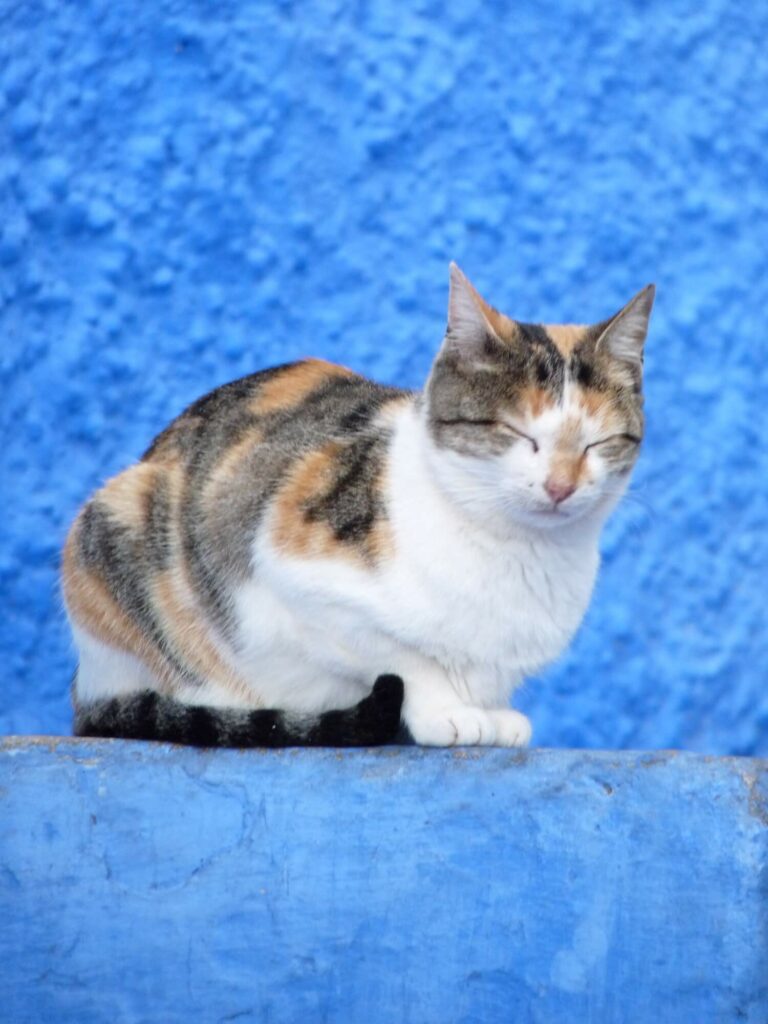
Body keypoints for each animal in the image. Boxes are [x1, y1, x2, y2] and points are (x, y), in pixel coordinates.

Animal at [64, 262, 655, 745]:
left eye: (597, 443)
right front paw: (448, 711)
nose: (560, 485)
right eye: (518, 434)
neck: (518, 550)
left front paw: (493, 712)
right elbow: (403, 659)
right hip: (117, 519)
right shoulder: (290, 578)